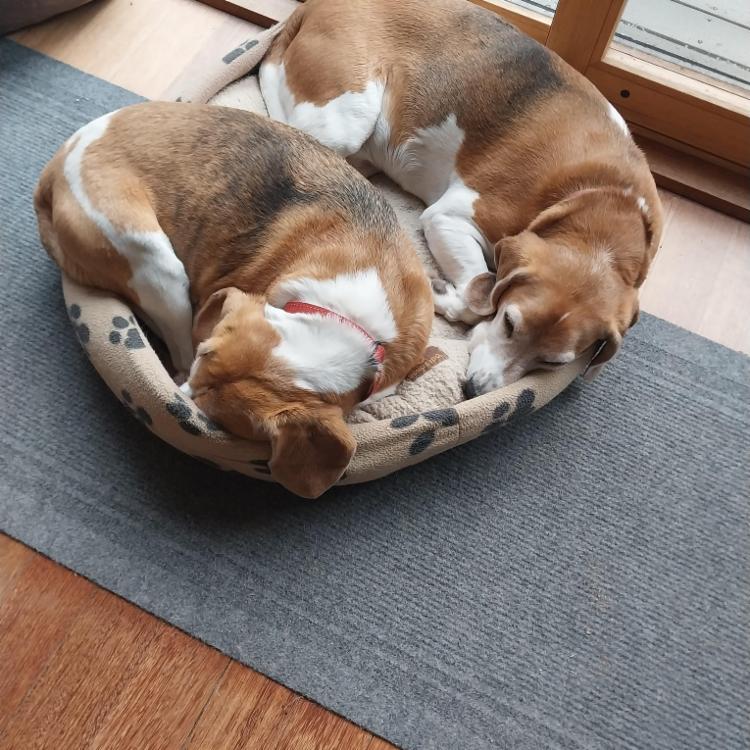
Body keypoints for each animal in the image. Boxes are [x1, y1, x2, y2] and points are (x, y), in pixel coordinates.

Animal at [35, 102, 433, 497]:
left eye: (217, 415)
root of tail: (55, 170)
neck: (341, 318)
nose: (183, 402)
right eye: (203, 356)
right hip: (156, 263)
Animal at [259, 0, 663, 395]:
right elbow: (477, 295)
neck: (605, 202)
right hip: (344, 123)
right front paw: (447, 296)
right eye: (509, 323)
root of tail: (317, 5)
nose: (475, 389)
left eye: (552, 364)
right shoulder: (449, 218)